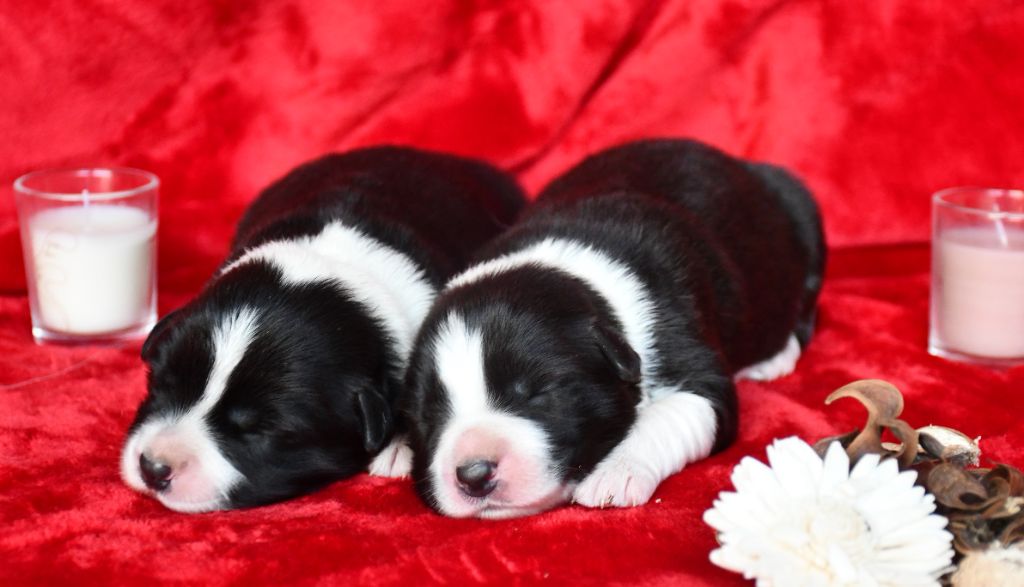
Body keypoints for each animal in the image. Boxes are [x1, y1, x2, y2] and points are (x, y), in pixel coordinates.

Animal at [399, 138, 823, 516]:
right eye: (429, 414)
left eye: (536, 394)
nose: (473, 474)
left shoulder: (692, 365)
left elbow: (664, 418)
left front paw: (615, 472)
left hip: (803, 211)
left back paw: (774, 358)